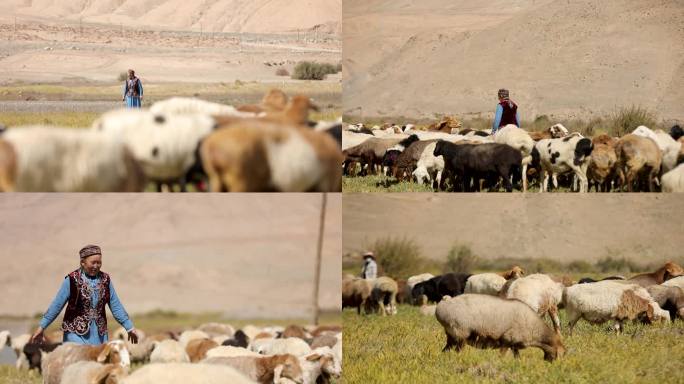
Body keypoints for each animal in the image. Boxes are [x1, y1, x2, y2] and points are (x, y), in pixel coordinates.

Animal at [436, 294, 564, 360]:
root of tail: (444, 303)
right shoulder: (506, 341)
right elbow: (501, 356)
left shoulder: (514, 346)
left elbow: (517, 358)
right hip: (461, 337)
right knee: (458, 352)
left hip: (451, 338)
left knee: (444, 351)